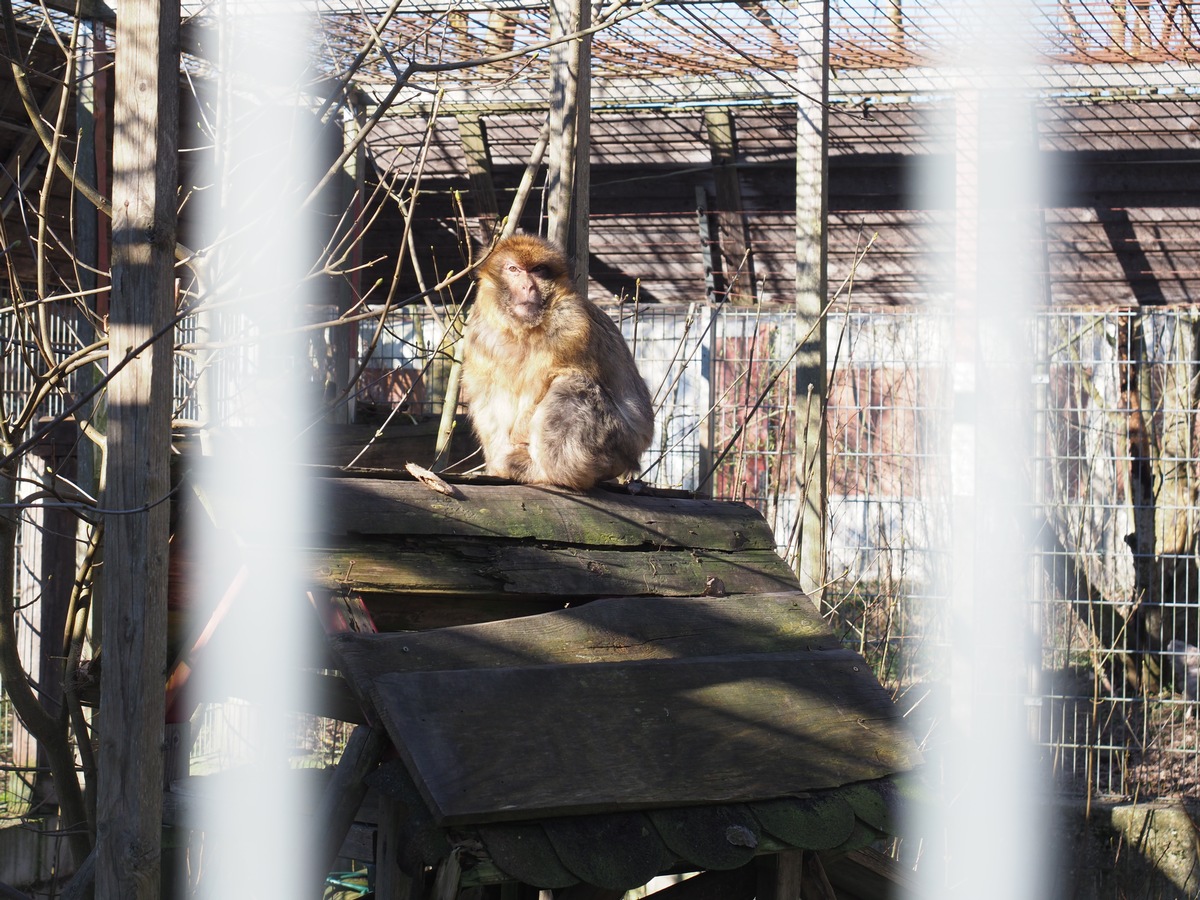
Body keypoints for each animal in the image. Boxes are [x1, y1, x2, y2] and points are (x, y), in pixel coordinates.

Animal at [460, 236, 657, 494]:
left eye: (538, 270)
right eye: (513, 269)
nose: (528, 287)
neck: (522, 330)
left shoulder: (573, 322)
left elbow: (548, 382)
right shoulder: (479, 334)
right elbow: (486, 394)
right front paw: (495, 463)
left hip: (616, 447)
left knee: (569, 385)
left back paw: (547, 473)